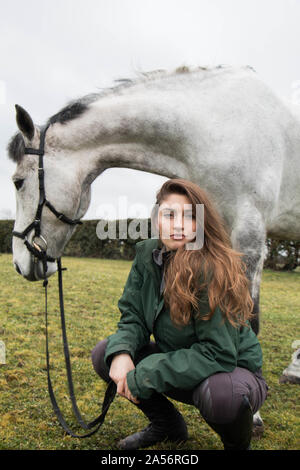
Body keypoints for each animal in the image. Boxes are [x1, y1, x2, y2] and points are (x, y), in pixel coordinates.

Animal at [7, 63, 300, 436]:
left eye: (18, 181)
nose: (20, 263)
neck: (217, 126)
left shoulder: (249, 236)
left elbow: (249, 319)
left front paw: (256, 415)